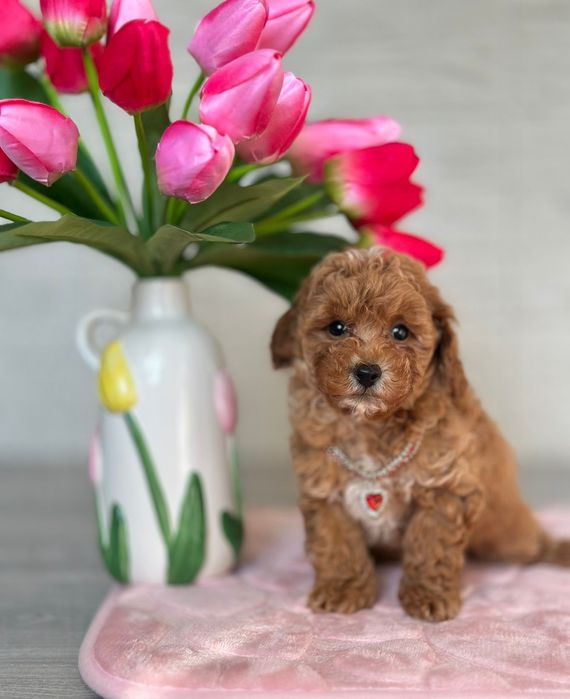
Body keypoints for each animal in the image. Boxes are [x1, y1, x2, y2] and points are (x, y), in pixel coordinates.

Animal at [270, 247, 570, 622]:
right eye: (336, 328)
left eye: (401, 332)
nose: (367, 372)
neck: (370, 425)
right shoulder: (323, 492)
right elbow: (336, 542)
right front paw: (344, 589)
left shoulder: (444, 489)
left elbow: (432, 544)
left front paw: (428, 595)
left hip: (503, 532)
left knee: (533, 545)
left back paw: (559, 551)